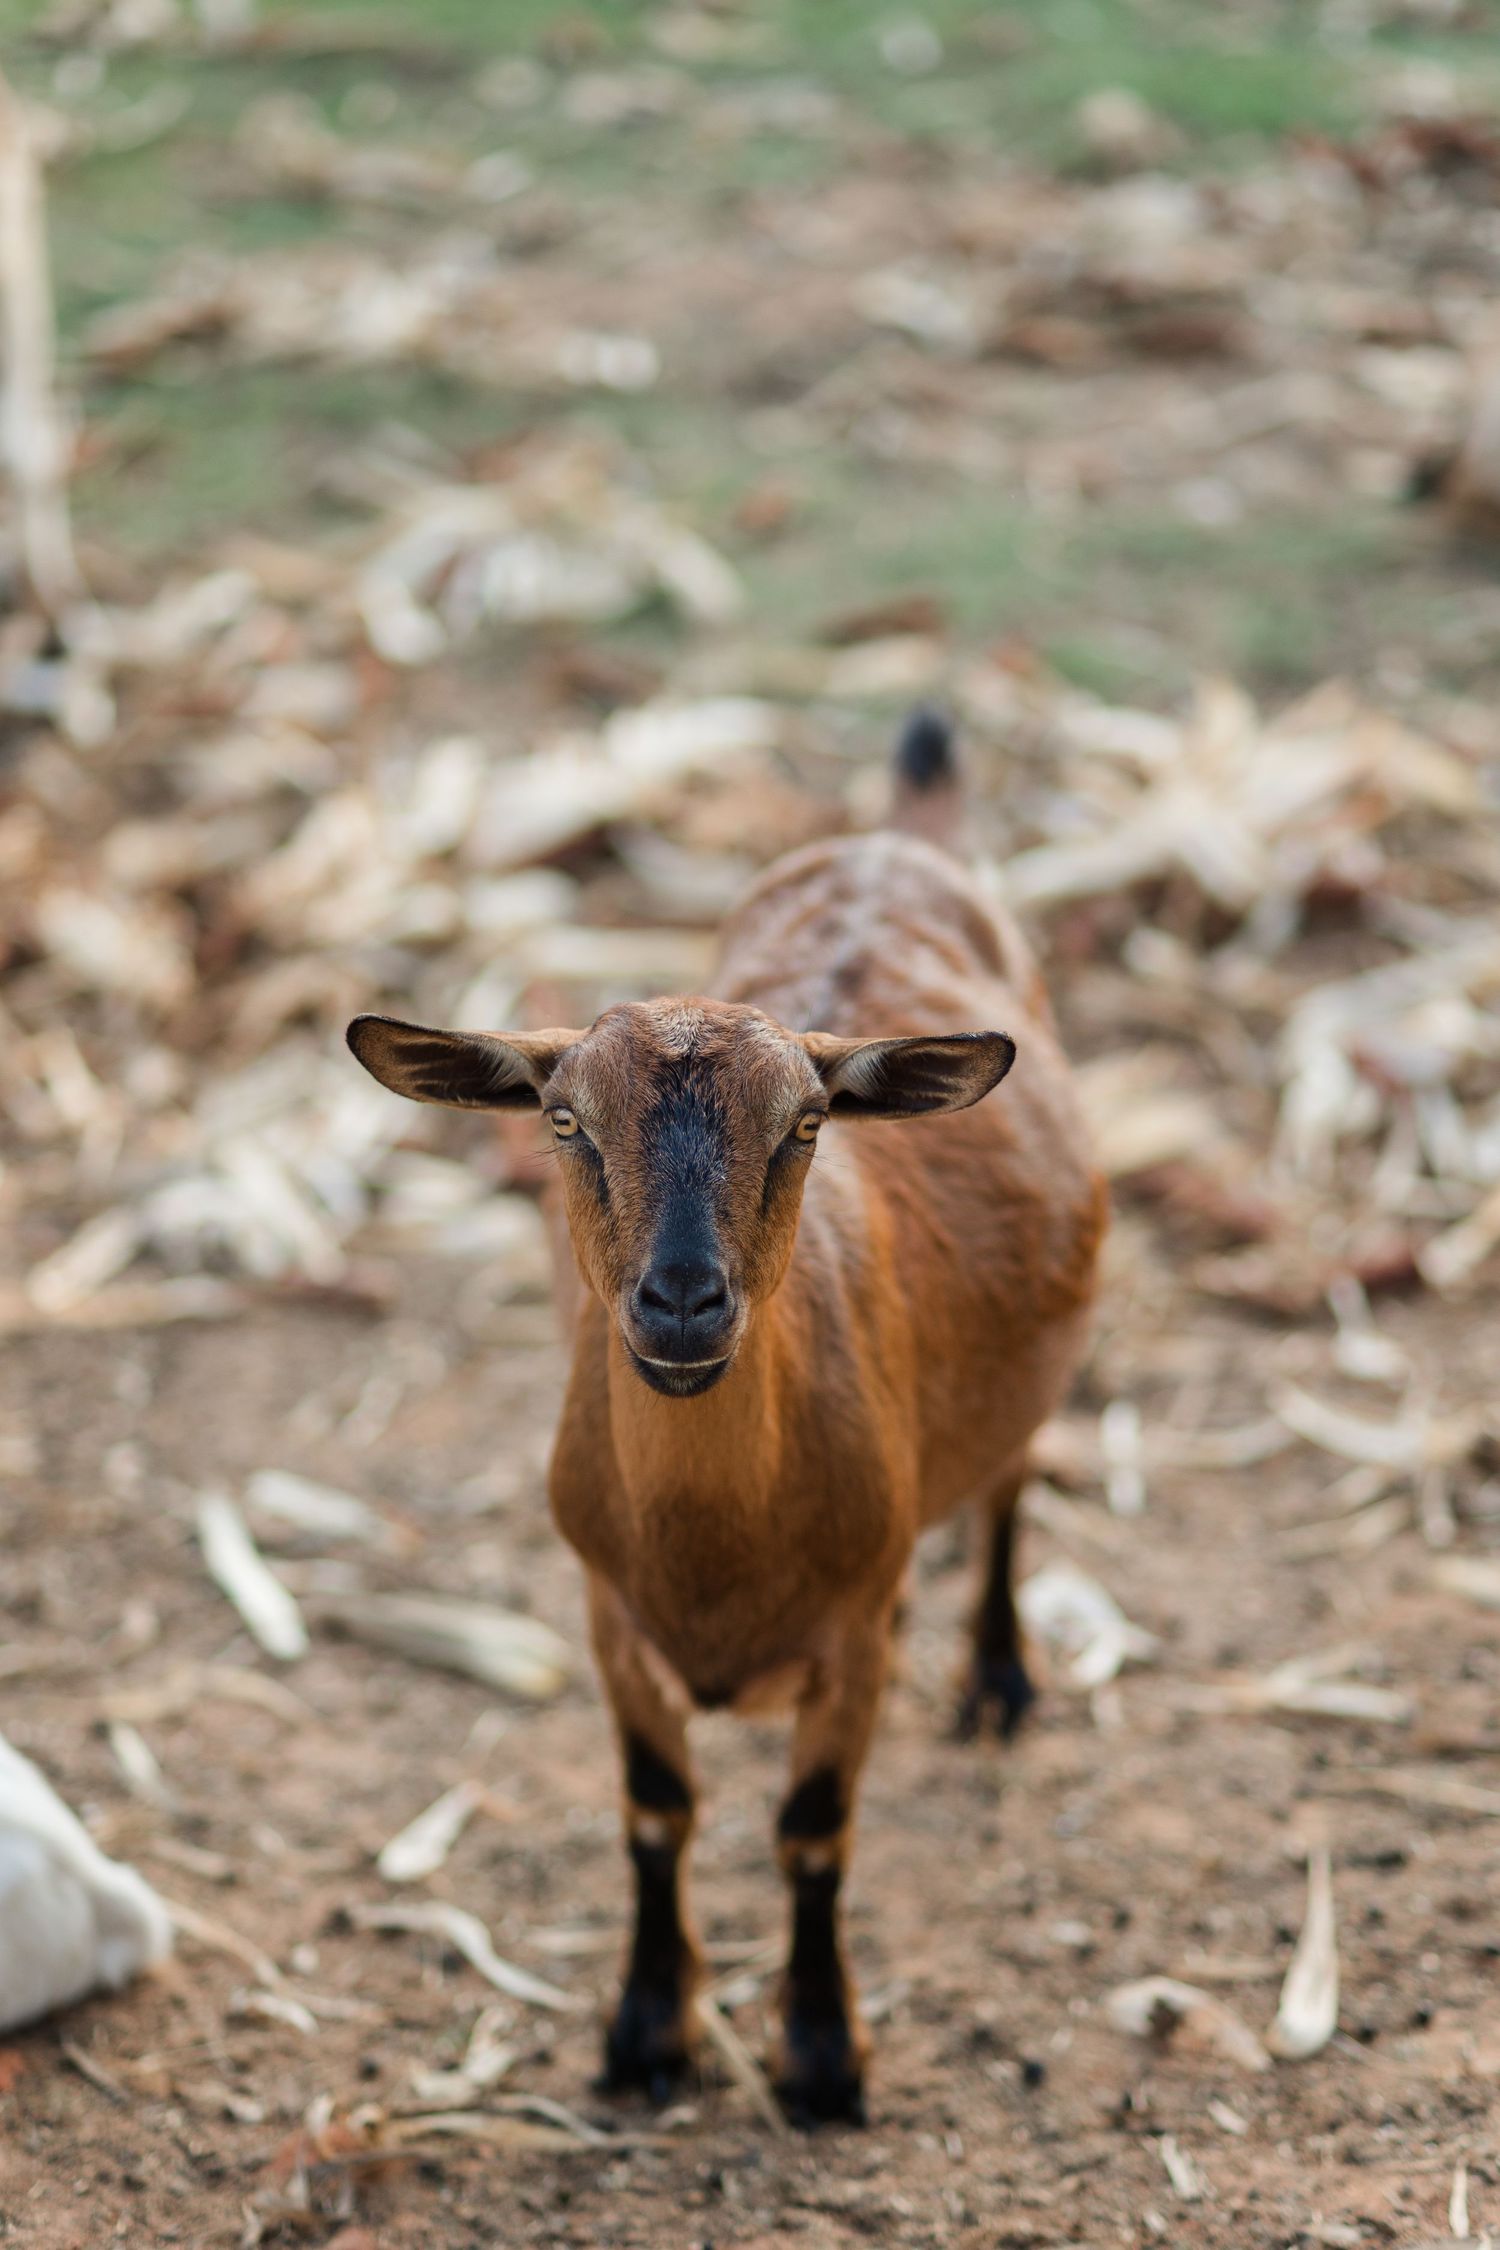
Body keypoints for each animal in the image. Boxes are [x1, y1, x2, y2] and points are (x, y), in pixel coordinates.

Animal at [348, 712, 1105, 2126]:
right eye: (564, 1120)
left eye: (806, 1124)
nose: (685, 1303)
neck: (716, 1555)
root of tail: (893, 839)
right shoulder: (607, 1614)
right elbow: (657, 1811)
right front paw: (648, 2035)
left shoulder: (855, 1637)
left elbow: (812, 1831)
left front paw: (820, 2058)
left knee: (1011, 1481)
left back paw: (997, 1680)